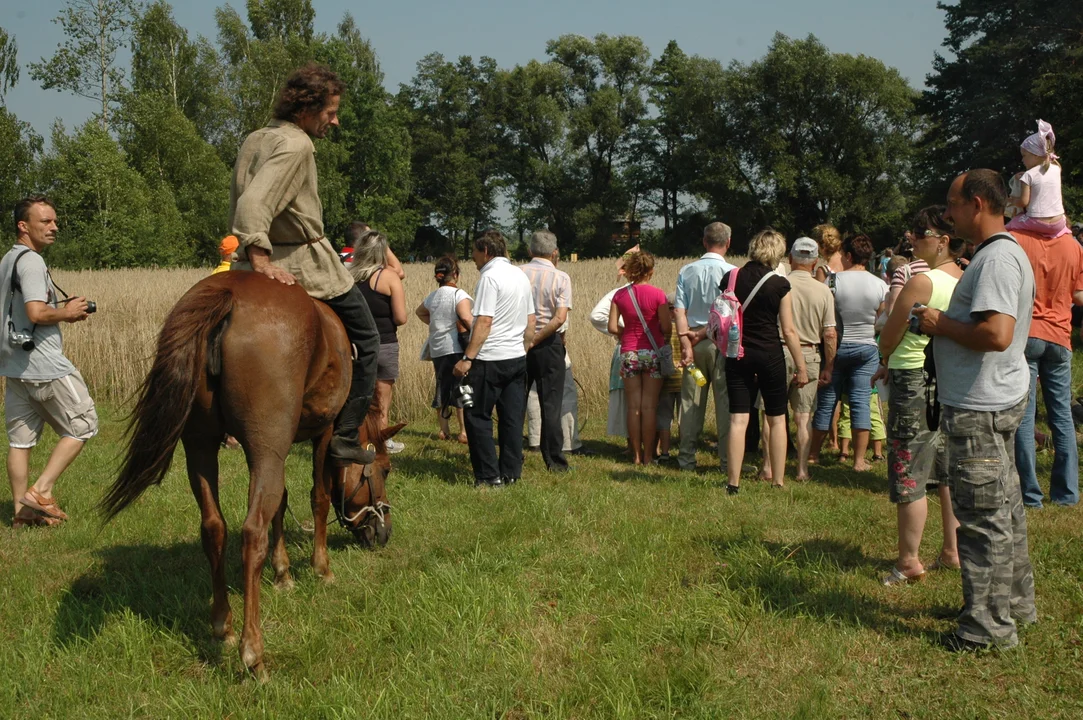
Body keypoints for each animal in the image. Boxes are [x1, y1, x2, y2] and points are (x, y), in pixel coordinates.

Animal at [99, 272, 405, 675]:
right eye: (385, 469)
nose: (384, 532)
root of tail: (229, 292)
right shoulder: (323, 434)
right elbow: (319, 498)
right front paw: (320, 568)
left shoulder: (261, 452)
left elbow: (281, 502)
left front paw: (283, 573)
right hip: (264, 446)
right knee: (251, 531)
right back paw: (252, 651)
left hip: (202, 446)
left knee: (214, 527)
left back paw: (222, 626)